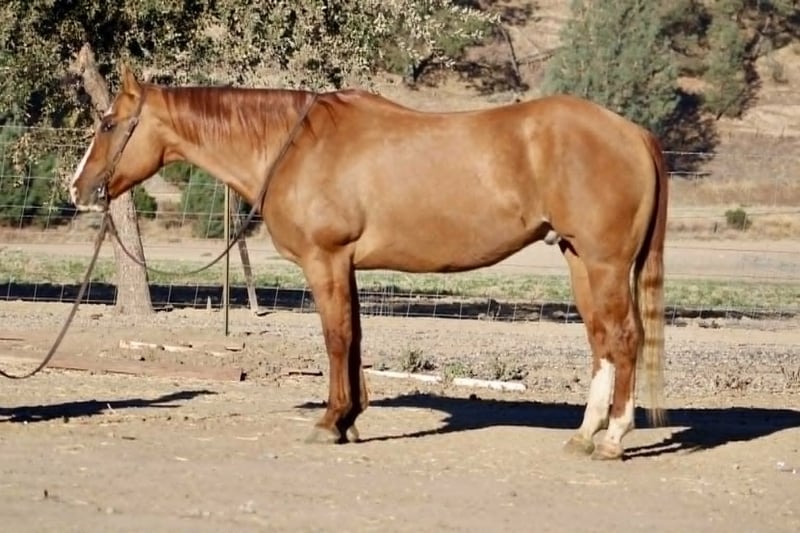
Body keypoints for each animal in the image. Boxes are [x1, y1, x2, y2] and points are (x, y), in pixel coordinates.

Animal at [70, 64, 668, 460]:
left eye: (107, 123)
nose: (78, 189)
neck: (294, 146)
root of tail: (633, 132)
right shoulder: (346, 266)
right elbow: (354, 337)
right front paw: (351, 420)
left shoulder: (325, 260)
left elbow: (336, 339)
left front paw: (330, 421)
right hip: (581, 260)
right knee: (601, 341)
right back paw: (585, 434)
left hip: (605, 264)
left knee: (623, 339)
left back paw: (614, 438)